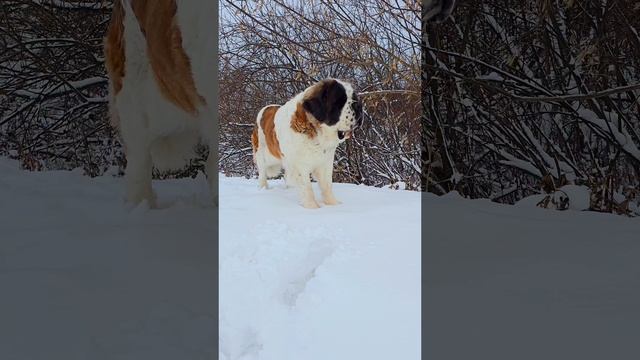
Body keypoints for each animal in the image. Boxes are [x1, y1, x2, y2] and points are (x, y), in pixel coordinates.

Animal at [250, 79, 362, 208]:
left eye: (353, 97)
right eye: (340, 101)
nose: (358, 105)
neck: (316, 131)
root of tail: (264, 109)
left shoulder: (325, 161)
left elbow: (327, 185)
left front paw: (333, 204)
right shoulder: (299, 165)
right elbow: (307, 187)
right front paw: (313, 207)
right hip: (263, 155)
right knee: (262, 173)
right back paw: (263, 189)